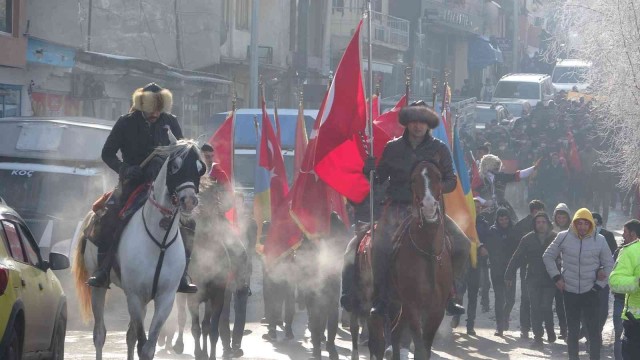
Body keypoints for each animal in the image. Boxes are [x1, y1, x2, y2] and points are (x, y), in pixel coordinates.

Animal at [74, 141, 206, 360]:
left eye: (199, 168)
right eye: (175, 166)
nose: (189, 201)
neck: (160, 239)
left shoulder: (165, 298)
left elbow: (147, 346)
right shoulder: (134, 296)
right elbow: (142, 344)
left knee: (129, 336)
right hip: (98, 288)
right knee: (99, 334)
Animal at [388, 161, 452, 360]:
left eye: (438, 177)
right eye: (413, 179)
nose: (429, 207)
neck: (428, 252)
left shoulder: (437, 310)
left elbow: (425, 347)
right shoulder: (412, 305)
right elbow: (420, 347)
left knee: (396, 331)